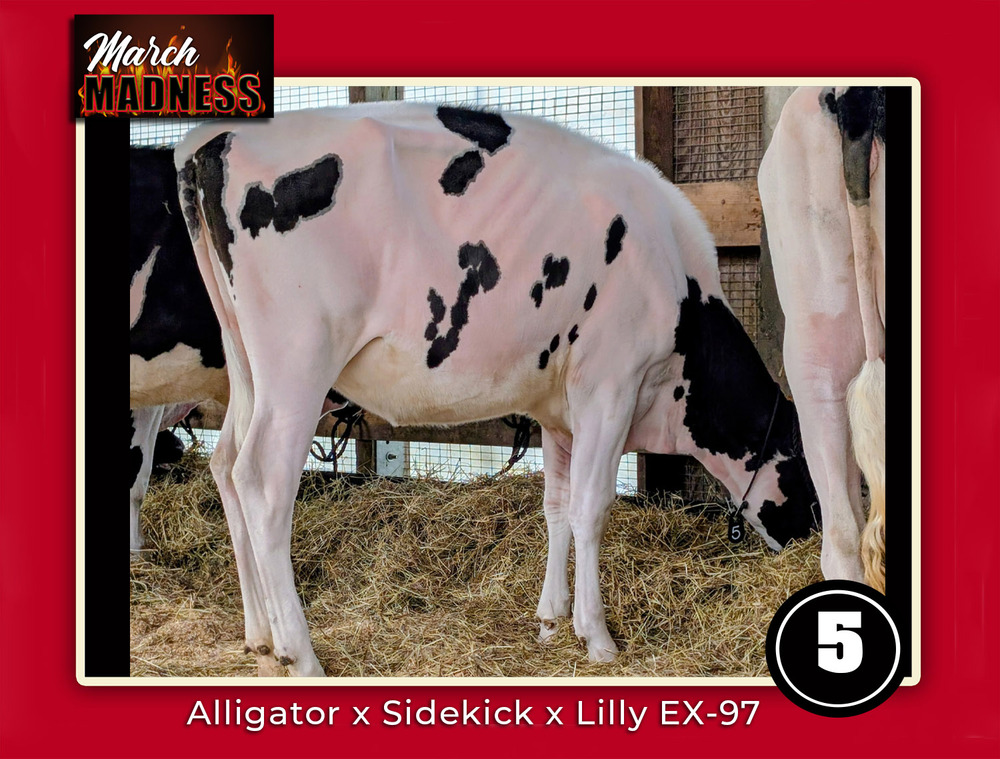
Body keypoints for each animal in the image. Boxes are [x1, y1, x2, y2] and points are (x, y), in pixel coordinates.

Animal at [175, 103, 819, 676]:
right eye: (813, 483)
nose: (811, 539)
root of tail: (210, 142)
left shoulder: (560, 409)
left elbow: (557, 507)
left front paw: (551, 623)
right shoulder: (610, 386)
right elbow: (591, 507)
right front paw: (597, 638)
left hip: (247, 362)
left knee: (226, 461)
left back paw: (261, 641)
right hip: (300, 357)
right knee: (262, 479)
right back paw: (300, 655)